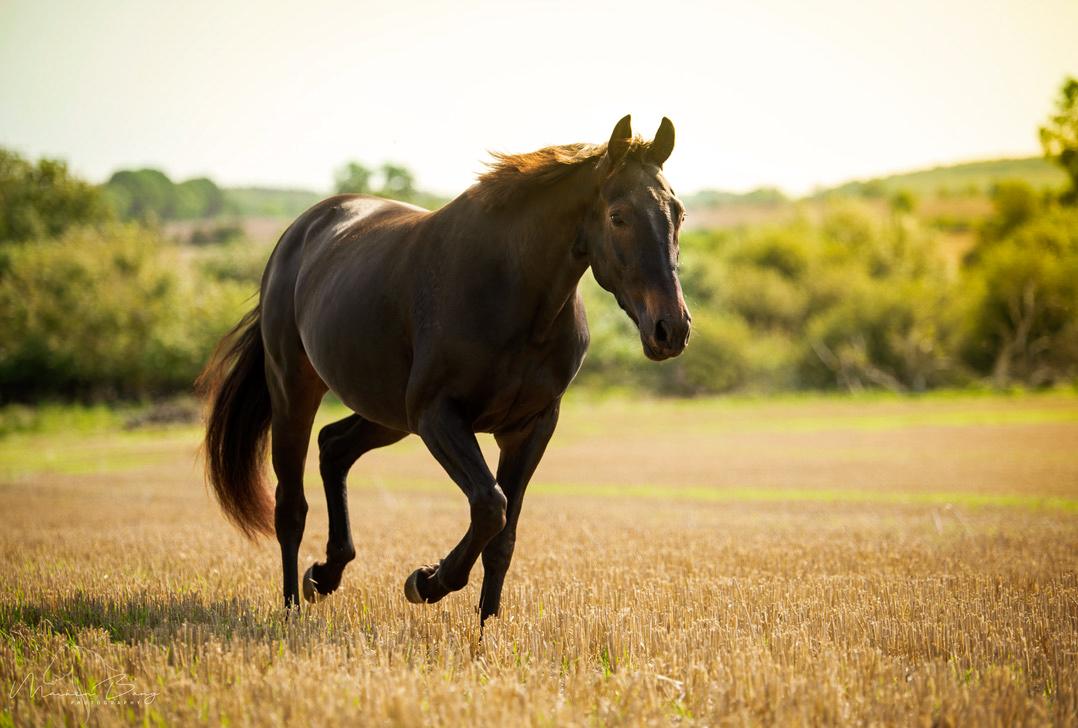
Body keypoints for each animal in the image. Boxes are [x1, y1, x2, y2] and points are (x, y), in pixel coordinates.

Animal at [196, 115, 689, 621]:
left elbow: (503, 537)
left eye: (679, 213)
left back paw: (326, 575)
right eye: (618, 216)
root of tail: (299, 233)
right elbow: (490, 504)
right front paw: (427, 581)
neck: (510, 292)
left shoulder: (531, 426)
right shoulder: (438, 417)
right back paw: (294, 605)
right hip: (296, 390)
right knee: (291, 506)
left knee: (333, 447)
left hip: (388, 415)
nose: (670, 329)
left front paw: (486, 625)